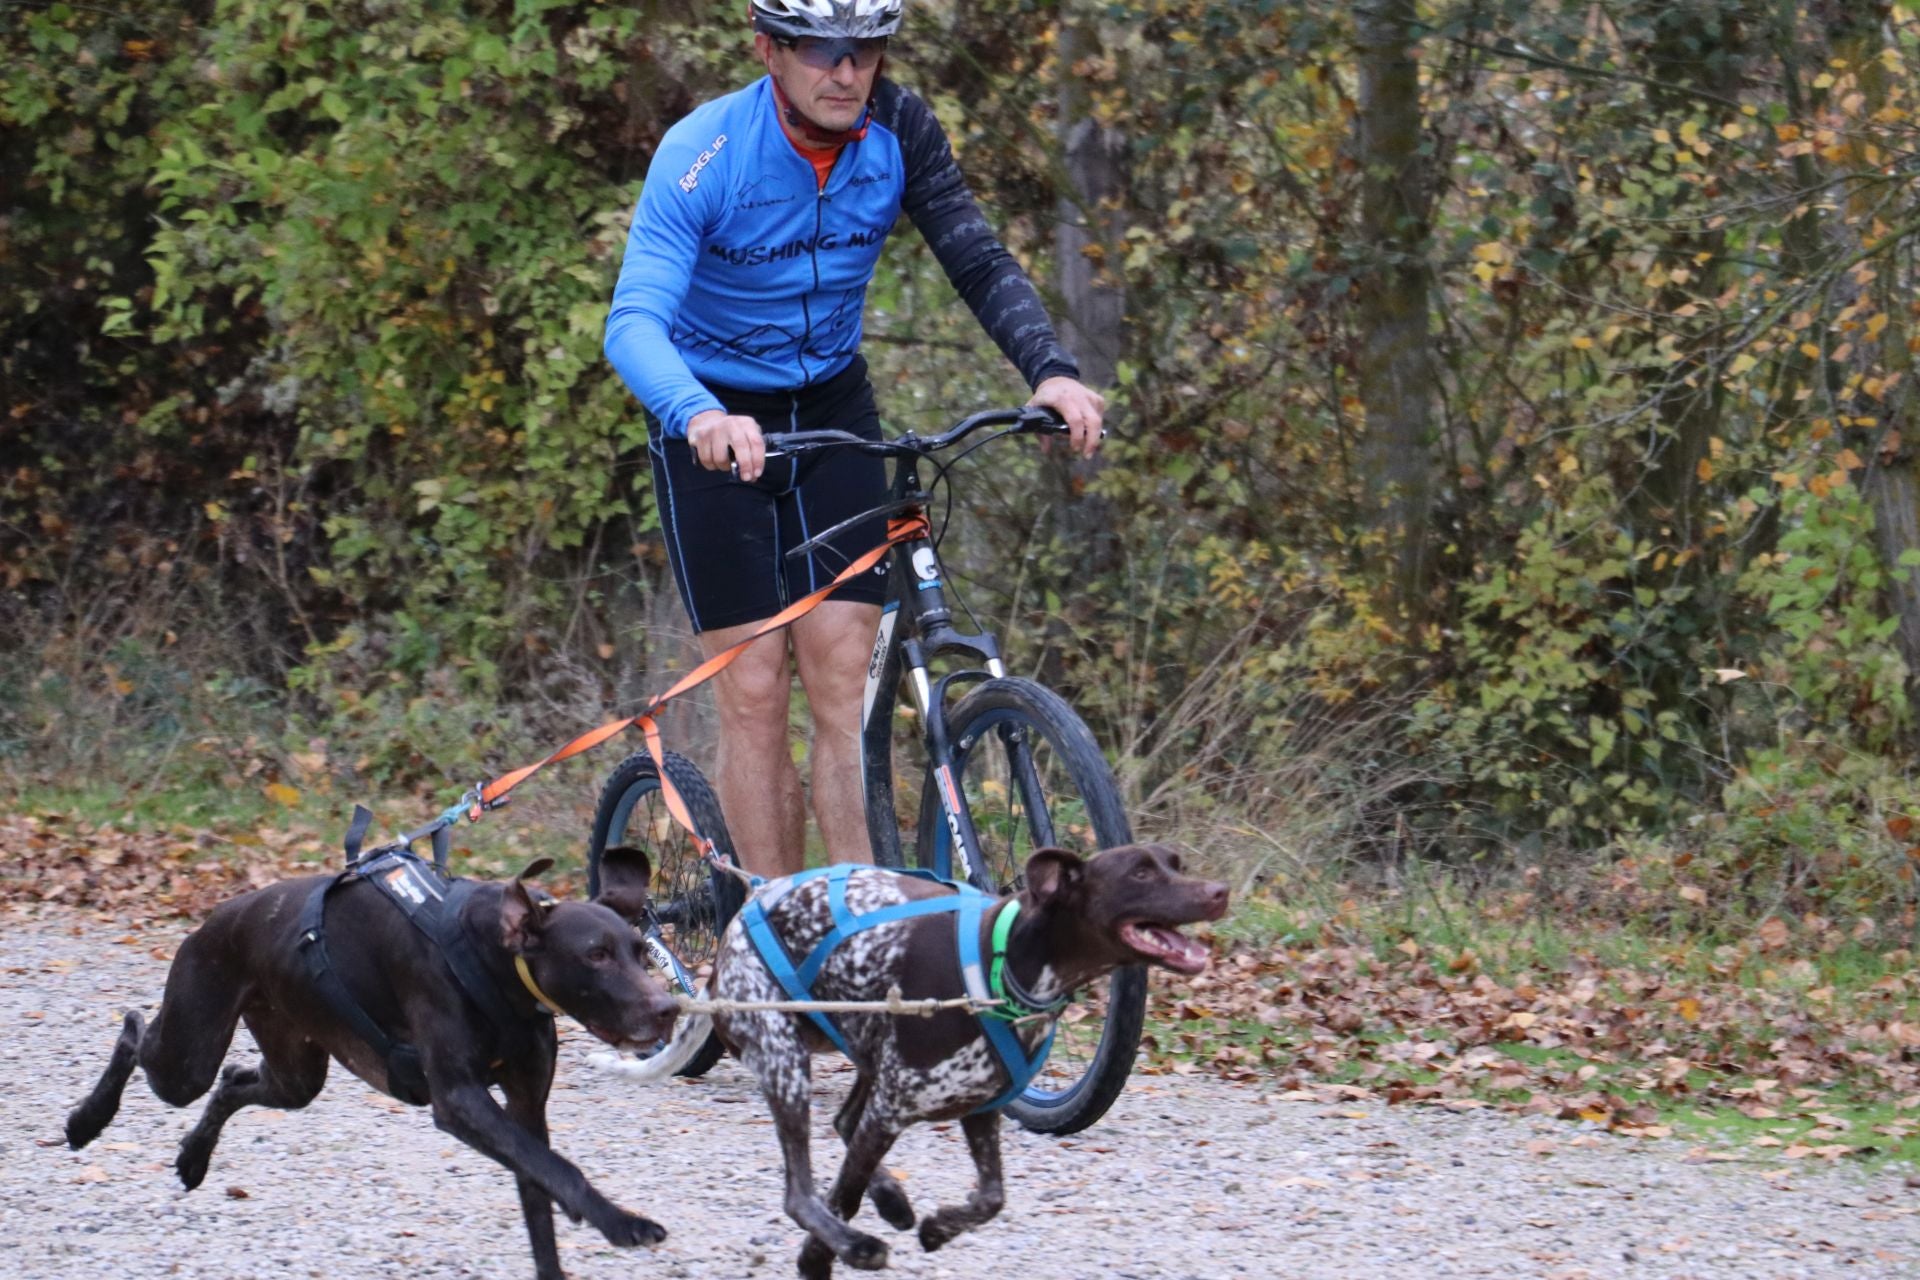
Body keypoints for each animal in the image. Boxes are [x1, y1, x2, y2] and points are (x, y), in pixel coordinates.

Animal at [710, 844, 1228, 1274]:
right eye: (1140, 872)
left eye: (1176, 864)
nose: (1219, 891)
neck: (1006, 963)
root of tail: (747, 905)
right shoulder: (892, 1110)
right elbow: (842, 1196)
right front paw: (819, 1257)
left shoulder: (980, 1110)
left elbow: (992, 1198)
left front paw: (938, 1228)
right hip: (786, 1061)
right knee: (800, 1193)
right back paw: (855, 1241)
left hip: (866, 1050)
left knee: (843, 1124)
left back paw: (891, 1199)